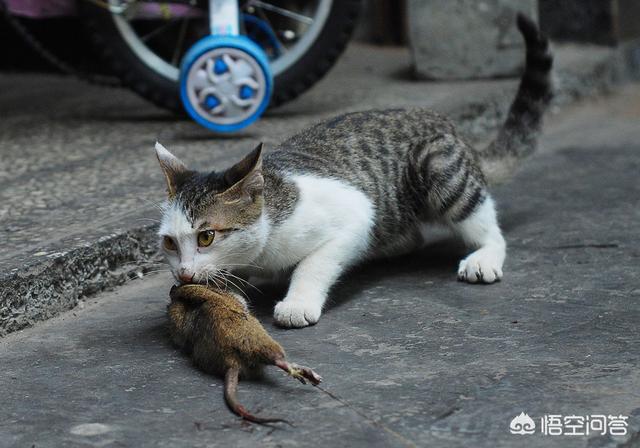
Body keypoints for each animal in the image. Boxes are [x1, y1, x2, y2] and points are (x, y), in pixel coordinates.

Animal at [154, 13, 552, 328]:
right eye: (170, 242)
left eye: (207, 237)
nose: (183, 272)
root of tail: (451, 126)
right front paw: (220, 291)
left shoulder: (355, 214)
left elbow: (315, 263)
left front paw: (298, 301)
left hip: (437, 164)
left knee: (484, 222)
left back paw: (484, 254)